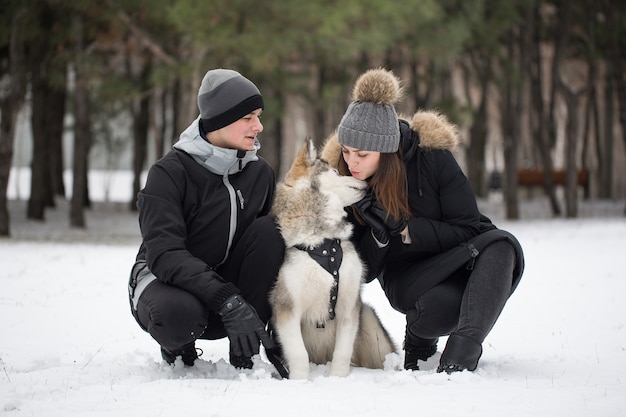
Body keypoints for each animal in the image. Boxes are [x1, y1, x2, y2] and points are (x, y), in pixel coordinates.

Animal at [268, 138, 394, 378]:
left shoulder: (349, 306)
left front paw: (336, 379)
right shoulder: (287, 308)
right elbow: (299, 354)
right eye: (336, 171)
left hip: (369, 318)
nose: (365, 183)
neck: (323, 244)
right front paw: (299, 381)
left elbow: (343, 353)